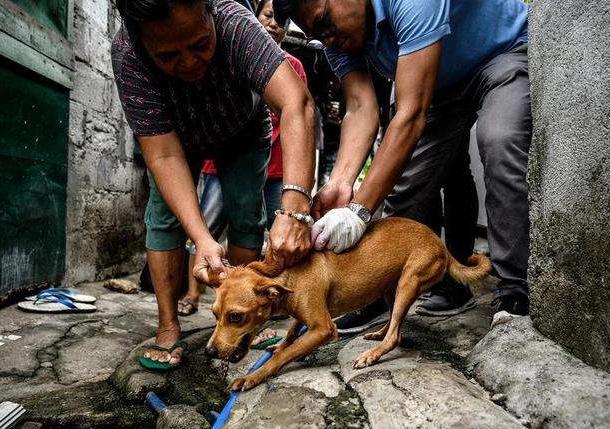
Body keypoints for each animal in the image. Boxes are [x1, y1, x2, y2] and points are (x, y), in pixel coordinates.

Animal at [202, 217, 492, 392]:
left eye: (236, 317)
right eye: (214, 314)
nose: (209, 352)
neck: (286, 274)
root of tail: (441, 245)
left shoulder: (323, 329)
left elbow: (285, 356)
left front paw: (253, 376)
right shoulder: (305, 317)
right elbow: (292, 333)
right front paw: (280, 344)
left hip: (409, 282)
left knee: (396, 334)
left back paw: (373, 354)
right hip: (390, 287)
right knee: (393, 320)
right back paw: (378, 333)